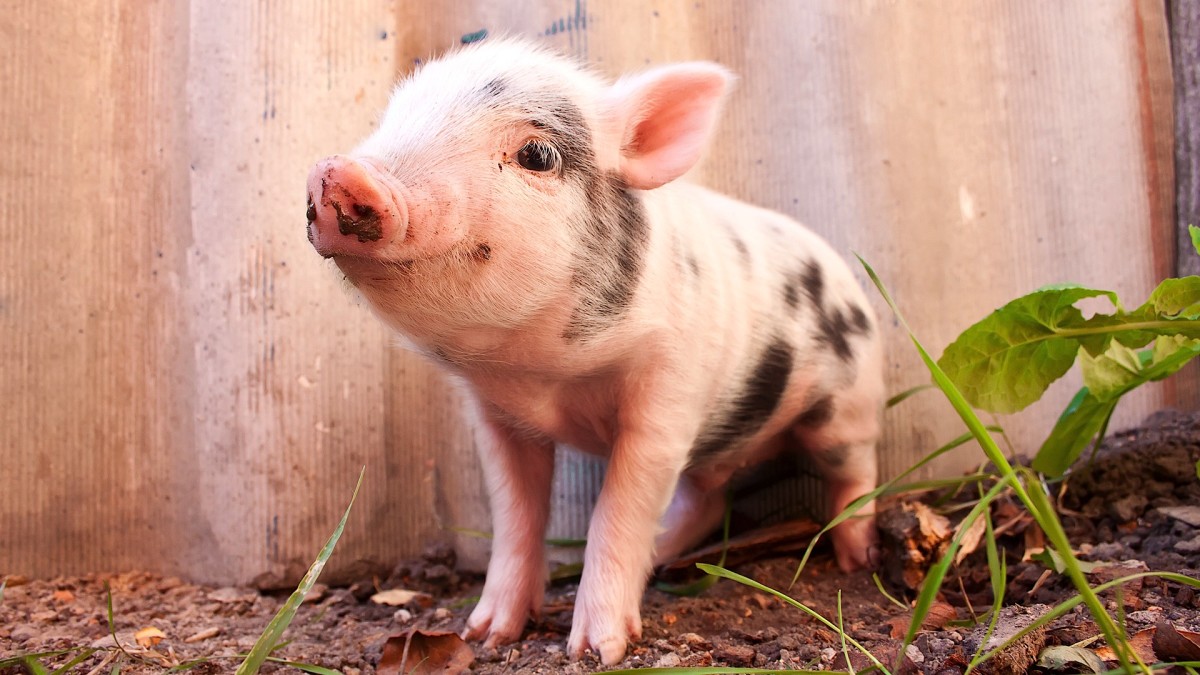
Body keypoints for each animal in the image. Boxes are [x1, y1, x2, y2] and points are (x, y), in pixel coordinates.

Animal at [305, 38, 884, 665]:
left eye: (537, 154)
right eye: (391, 120)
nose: (338, 172)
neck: (544, 375)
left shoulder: (668, 393)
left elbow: (620, 508)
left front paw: (596, 652)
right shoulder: (495, 417)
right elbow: (515, 514)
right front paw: (484, 635)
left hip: (846, 406)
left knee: (855, 470)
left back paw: (858, 558)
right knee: (706, 498)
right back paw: (665, 554)